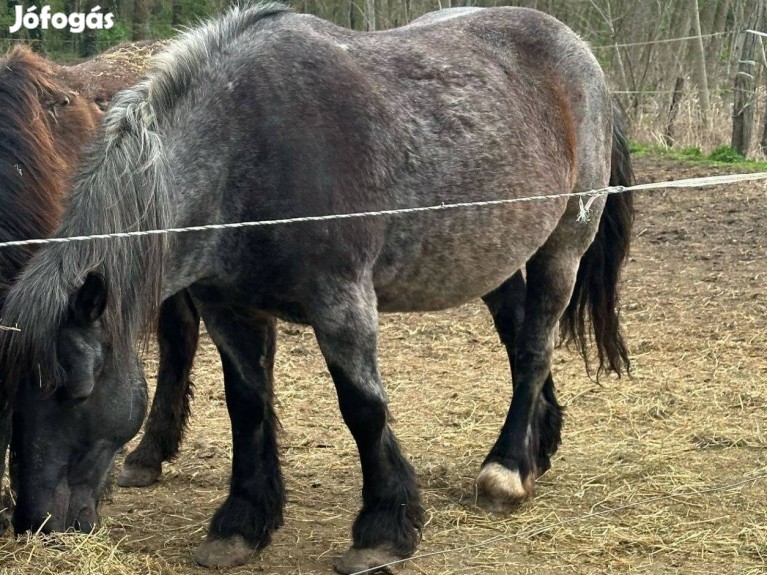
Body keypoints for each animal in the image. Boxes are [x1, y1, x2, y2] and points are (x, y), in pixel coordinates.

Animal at [1, 3, 636, 572]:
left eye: (78, 390)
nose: (36, 524)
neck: (242, 147)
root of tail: (580, 52)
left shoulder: (342, 303)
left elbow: (363, 409)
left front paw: (382, 531)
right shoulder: (228, 307)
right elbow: (247, 405)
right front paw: (240, 525)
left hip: (564, 245)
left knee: (534, 347)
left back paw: (507, 470)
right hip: (493, 258)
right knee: (520, 336)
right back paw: (537, 448)